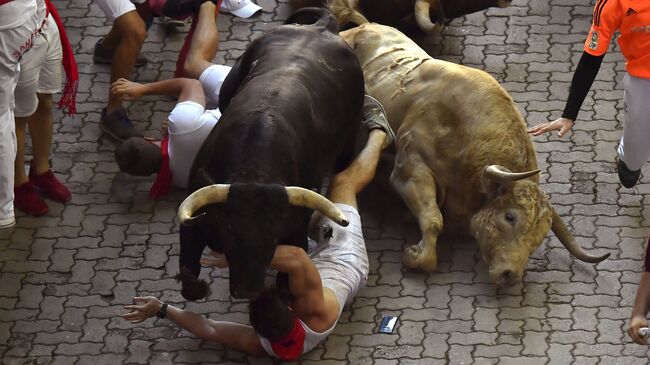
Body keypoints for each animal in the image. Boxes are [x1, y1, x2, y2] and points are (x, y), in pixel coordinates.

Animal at [340, 23, 608, 284]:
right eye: (510, 217)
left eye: (540, 235)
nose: (510, 275)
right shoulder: (410, 168)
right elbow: (433, 219)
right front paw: (416, 256)